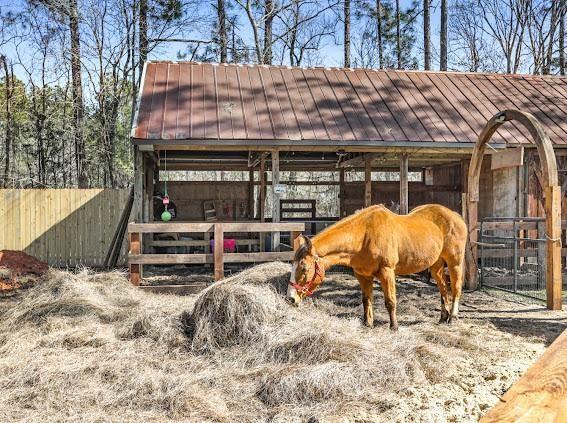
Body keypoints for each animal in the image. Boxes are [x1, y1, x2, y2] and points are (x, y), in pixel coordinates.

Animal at [290, 205, 468, 332]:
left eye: (304, 268)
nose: (291, 298)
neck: (364, 236)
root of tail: (457, 217)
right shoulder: (362, 275)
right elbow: (366, 300)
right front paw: (368, 324)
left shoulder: (387, 272)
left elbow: (390, 301)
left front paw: (394, 327)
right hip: (435, 265)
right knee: (443, 288)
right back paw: (443, 317)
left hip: (454, 262)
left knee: (456, 288)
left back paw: (452, 317)